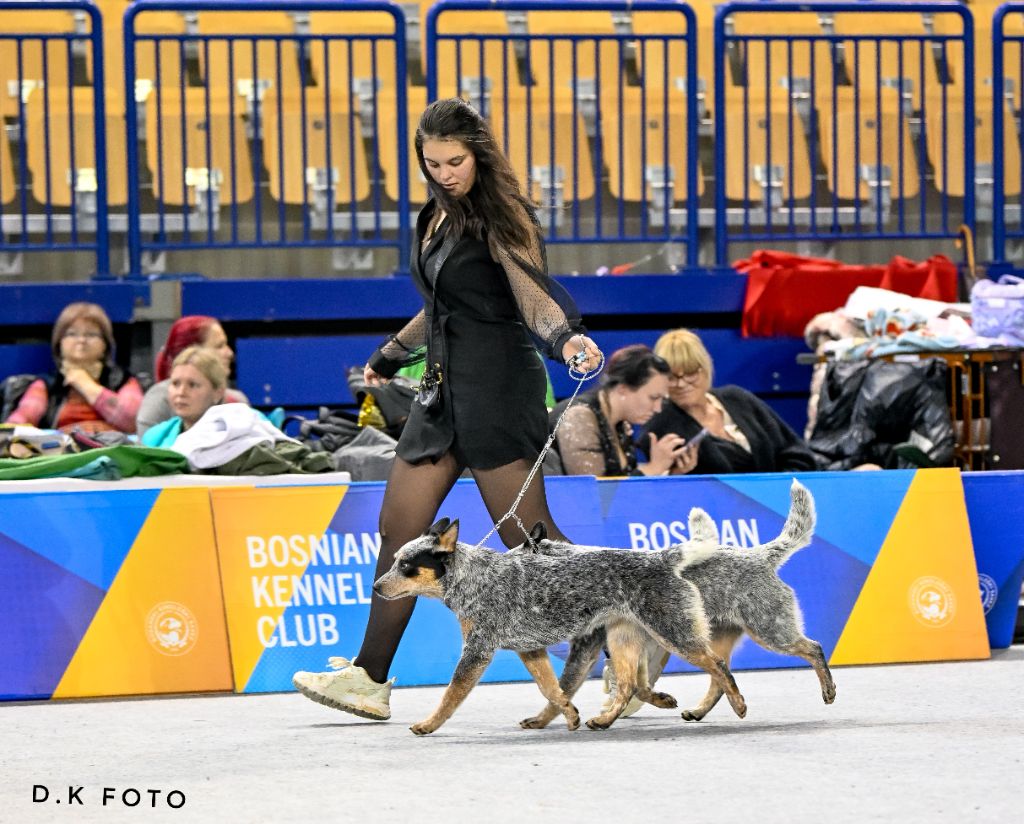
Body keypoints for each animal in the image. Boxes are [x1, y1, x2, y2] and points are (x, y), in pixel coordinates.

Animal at [372, 517, 749, 736]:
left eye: (405, 565)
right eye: (394, 561)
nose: (375, 587)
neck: (475, 578)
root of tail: (659, 558)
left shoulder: (477, 652)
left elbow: (450, 696)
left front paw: (427, 724)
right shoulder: (530, 650)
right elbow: (552, 689)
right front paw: (568, 715)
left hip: (672, 631)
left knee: (718, 664)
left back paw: (738, 703)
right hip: (624, 638)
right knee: (628, 684)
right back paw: (605, 720)